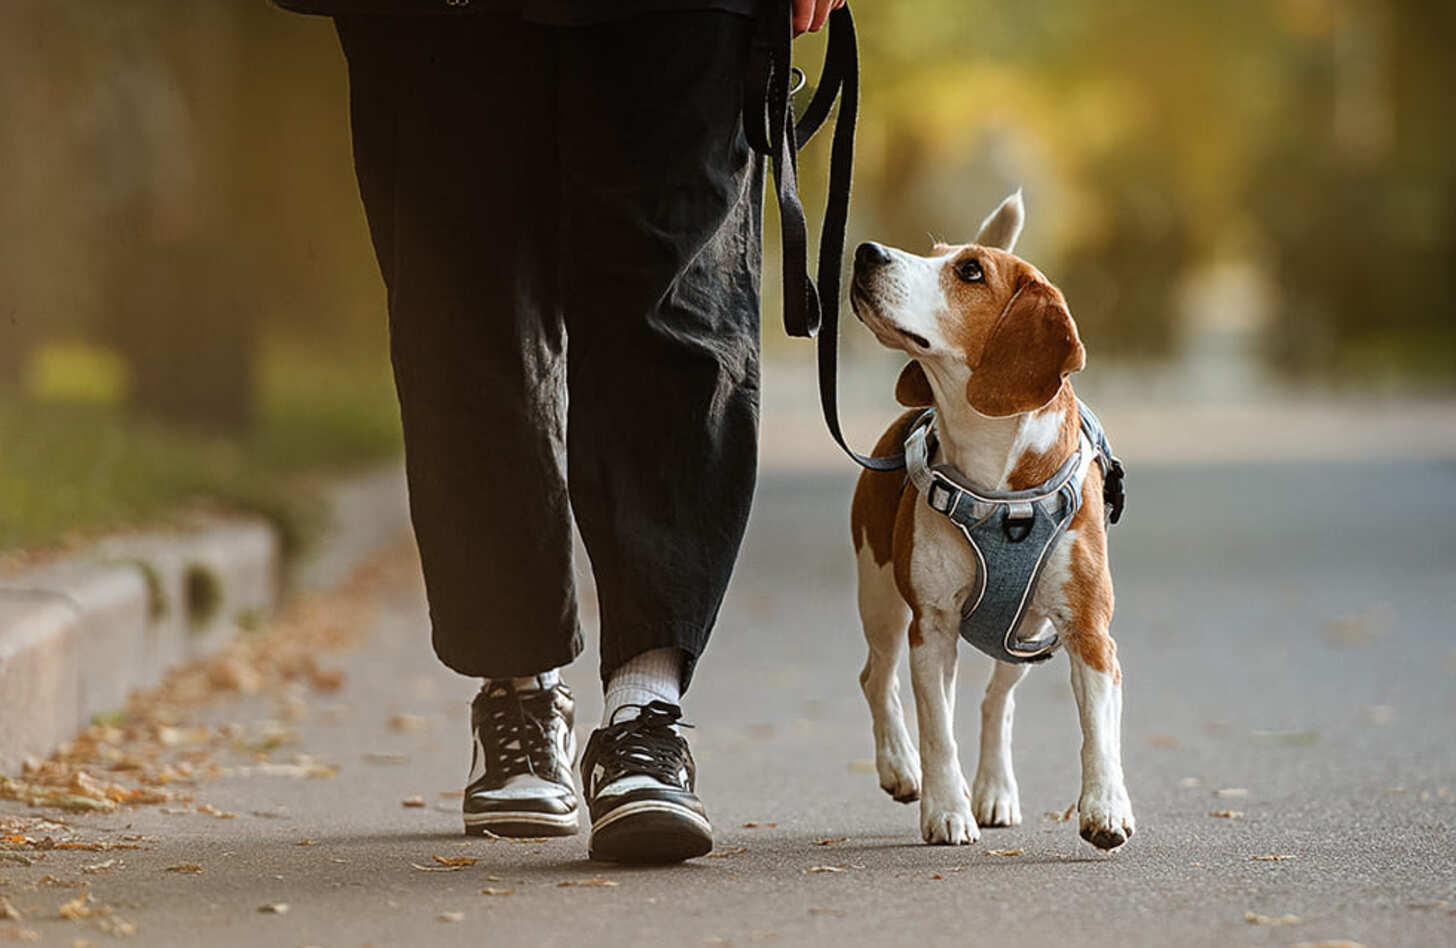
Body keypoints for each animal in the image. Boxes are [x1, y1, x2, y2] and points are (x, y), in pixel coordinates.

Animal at [844, 192, 1135, 850]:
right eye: (932, 254)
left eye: (970, 271)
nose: (865, 251)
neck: (995, 473)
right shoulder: (931, 627)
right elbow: (937, 734)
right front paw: (946, 810)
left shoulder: (1089, 632)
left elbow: (1100, 734)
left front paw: (1105, 808)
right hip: (880, 596)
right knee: (877, 678)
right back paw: (900, 766)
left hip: (1025, 632)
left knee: (995, 703)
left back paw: (996, 789)